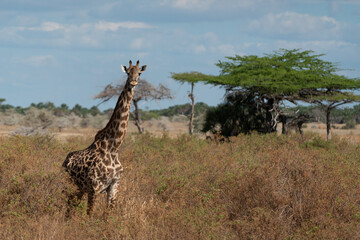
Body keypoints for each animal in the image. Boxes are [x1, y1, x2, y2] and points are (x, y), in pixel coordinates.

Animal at [63, 60, 146, 216]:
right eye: (127, 72)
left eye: (139, 73)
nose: (133, 82)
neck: (113, 147)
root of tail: (65, 161)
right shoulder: (94, 187)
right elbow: (89, 215)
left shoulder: (114, 185)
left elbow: (107, 216)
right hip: (71, 185)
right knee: (69, 206)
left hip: (80, 189)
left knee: (71, 206)